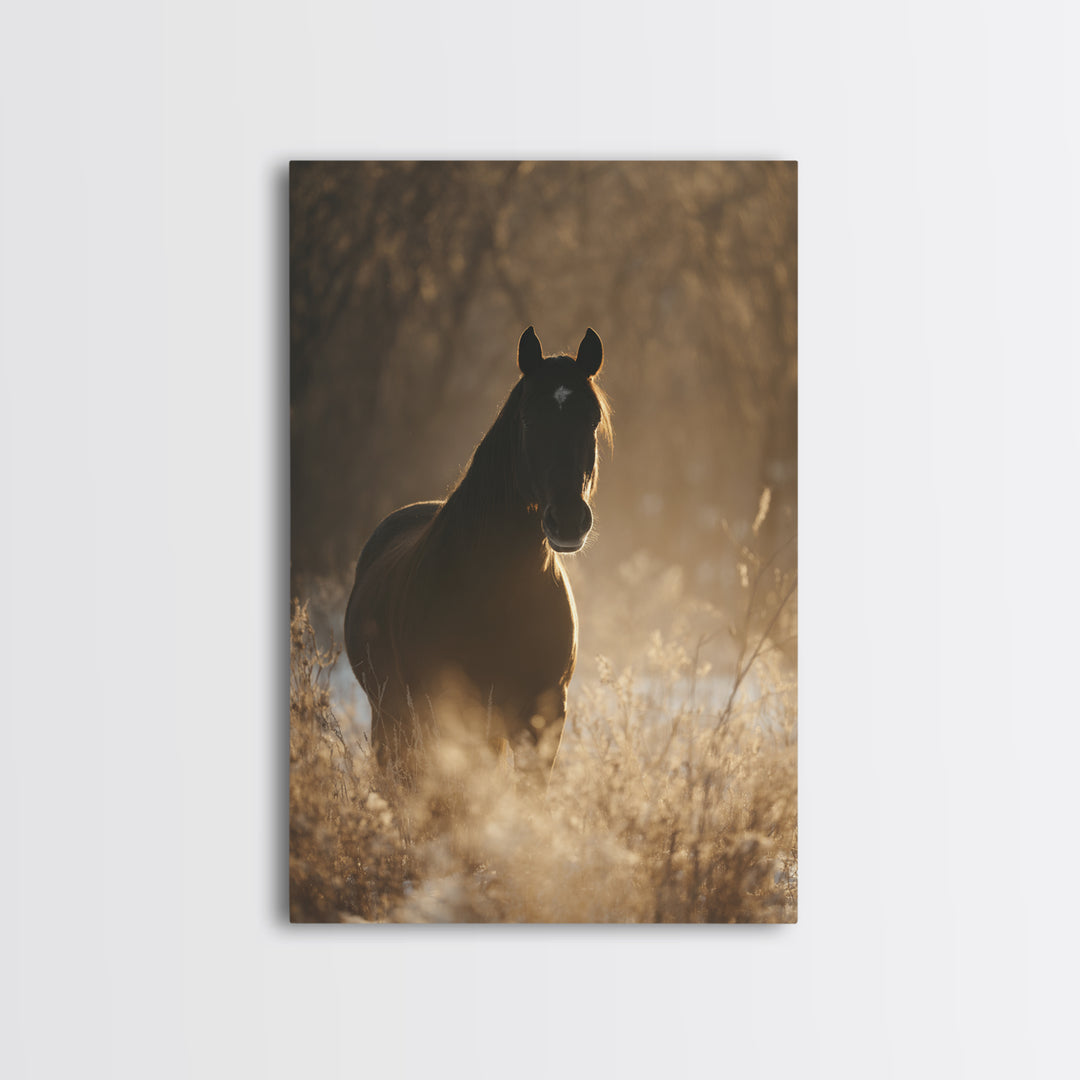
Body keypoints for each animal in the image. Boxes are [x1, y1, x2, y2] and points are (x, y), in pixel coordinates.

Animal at [344, 326, 612, 786]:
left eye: (591, 419)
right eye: (528, 418)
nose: (568, 521)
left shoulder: (542, 718)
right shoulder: (444, 716)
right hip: (391, 718)